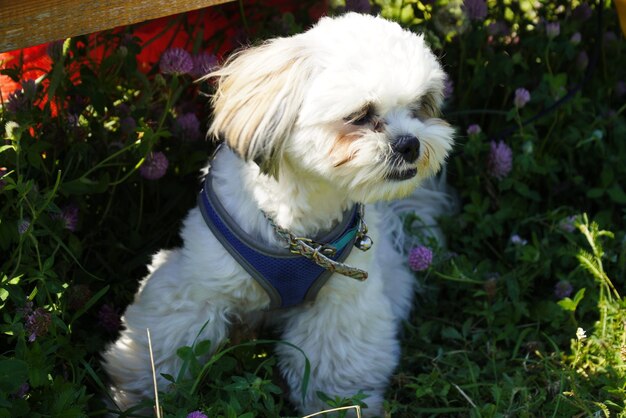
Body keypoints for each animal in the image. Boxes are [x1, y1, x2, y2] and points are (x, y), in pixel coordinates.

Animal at [102, 12, 454, 414]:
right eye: (360, 116)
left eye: (421, 106)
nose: (410, 143)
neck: (296, 233)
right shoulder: (194, 286)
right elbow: (160, 349)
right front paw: (139, 401)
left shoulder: (343, 304)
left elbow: (335, 369)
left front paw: (339, 406)